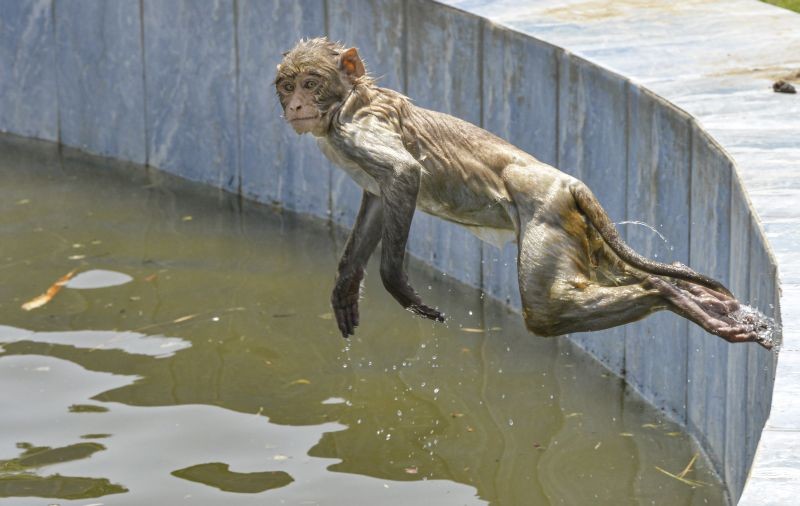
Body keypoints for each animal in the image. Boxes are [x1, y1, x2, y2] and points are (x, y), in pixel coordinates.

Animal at [274, 37, 771, 349]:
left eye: (311, 83)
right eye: (287, 84)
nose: (295, 104)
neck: (346, 100)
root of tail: (570, 183)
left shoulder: (355, 128)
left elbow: (403, 172)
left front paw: (398, 286)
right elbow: (379, 197)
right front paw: (345, 285)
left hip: (549, 217)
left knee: (548, 309)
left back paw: (667, 294)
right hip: (584, 234)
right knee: (614, 277)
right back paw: (696, 296)